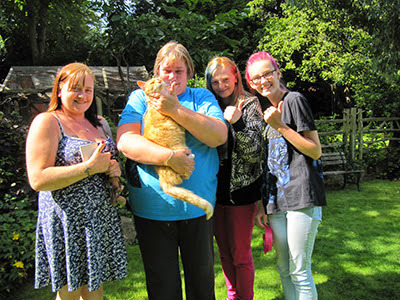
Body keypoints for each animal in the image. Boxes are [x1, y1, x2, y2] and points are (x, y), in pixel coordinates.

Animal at [137, 77, 212, 220]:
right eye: (152, 82)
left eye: (158, 79)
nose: (159, 81)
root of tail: (163, 182)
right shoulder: (180, 122)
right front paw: (202, 112)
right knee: (184, 176)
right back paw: (190, 157)